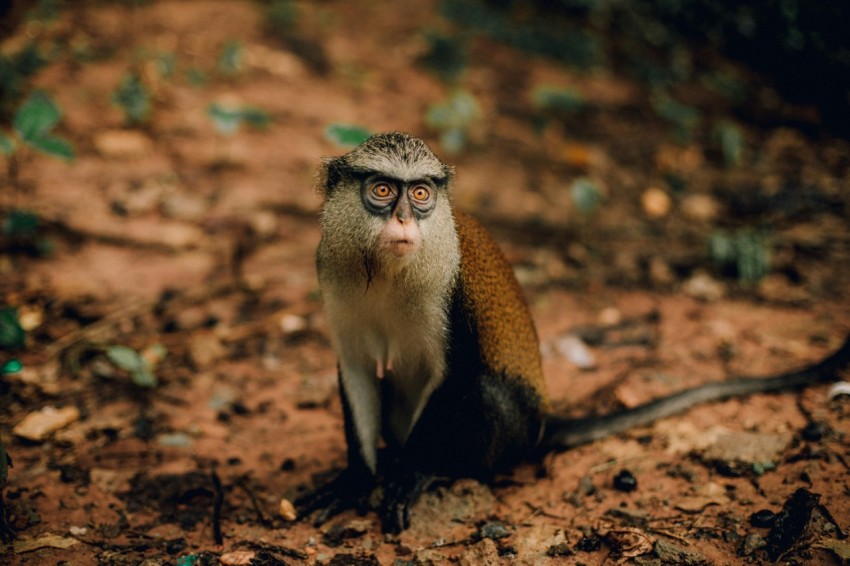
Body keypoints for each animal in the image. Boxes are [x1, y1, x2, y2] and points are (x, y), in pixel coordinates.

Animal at [298, 132, 848, 536]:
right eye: (382, 190)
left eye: (420, 193)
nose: (404, 220)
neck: (387, 271)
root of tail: (546, 423)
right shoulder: (332, 278)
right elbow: (356, 371)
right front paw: (355, 481)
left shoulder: (450, 296)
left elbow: (456, 375)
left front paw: (409, 473)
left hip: (511, 432)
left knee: (483, 391)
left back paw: (440, 469)